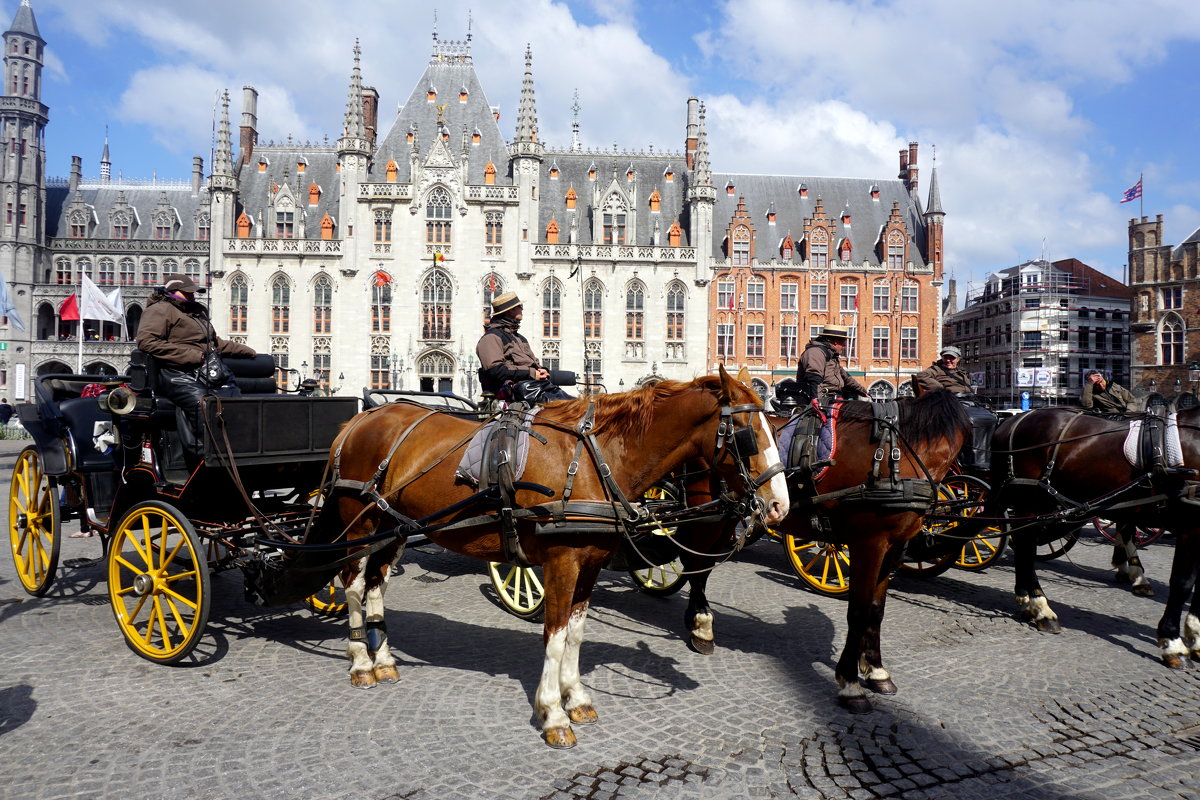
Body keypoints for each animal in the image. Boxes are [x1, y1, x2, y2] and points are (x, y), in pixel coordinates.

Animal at [304, 369, 787, 753]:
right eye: (745, 432)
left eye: (773, 423)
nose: (779, 506)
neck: (596, 460)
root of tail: (360, 418)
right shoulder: (561, 564)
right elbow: (554, 637)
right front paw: (553, 714)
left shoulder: (590, 564)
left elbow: (575, 634)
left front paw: (578, 698)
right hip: (361, 526)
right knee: (352, 582)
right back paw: (361, 663)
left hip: (395, 528)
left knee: (377, 585)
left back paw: (384, 660)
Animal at [672, 391, 969, 710]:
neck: (895, 456)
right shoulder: (869, 544)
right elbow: (859, 610)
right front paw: (850, 683)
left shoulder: (893, 548)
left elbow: (877, 610)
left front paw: (876, 670)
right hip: (708, 514)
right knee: (694, 561)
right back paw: (700, 625)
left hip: (726, 516)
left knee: (700, 565)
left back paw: (698, 622)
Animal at [988, 402, 1200, 666]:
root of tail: (1009, 421)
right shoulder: (1191, 526)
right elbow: (1183, 583)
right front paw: (1173, 643)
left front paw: (1195, 638)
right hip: (1030, 502)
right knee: (1026, 547)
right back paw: (1041, 608)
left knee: (1023, 546)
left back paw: (1026, 599)